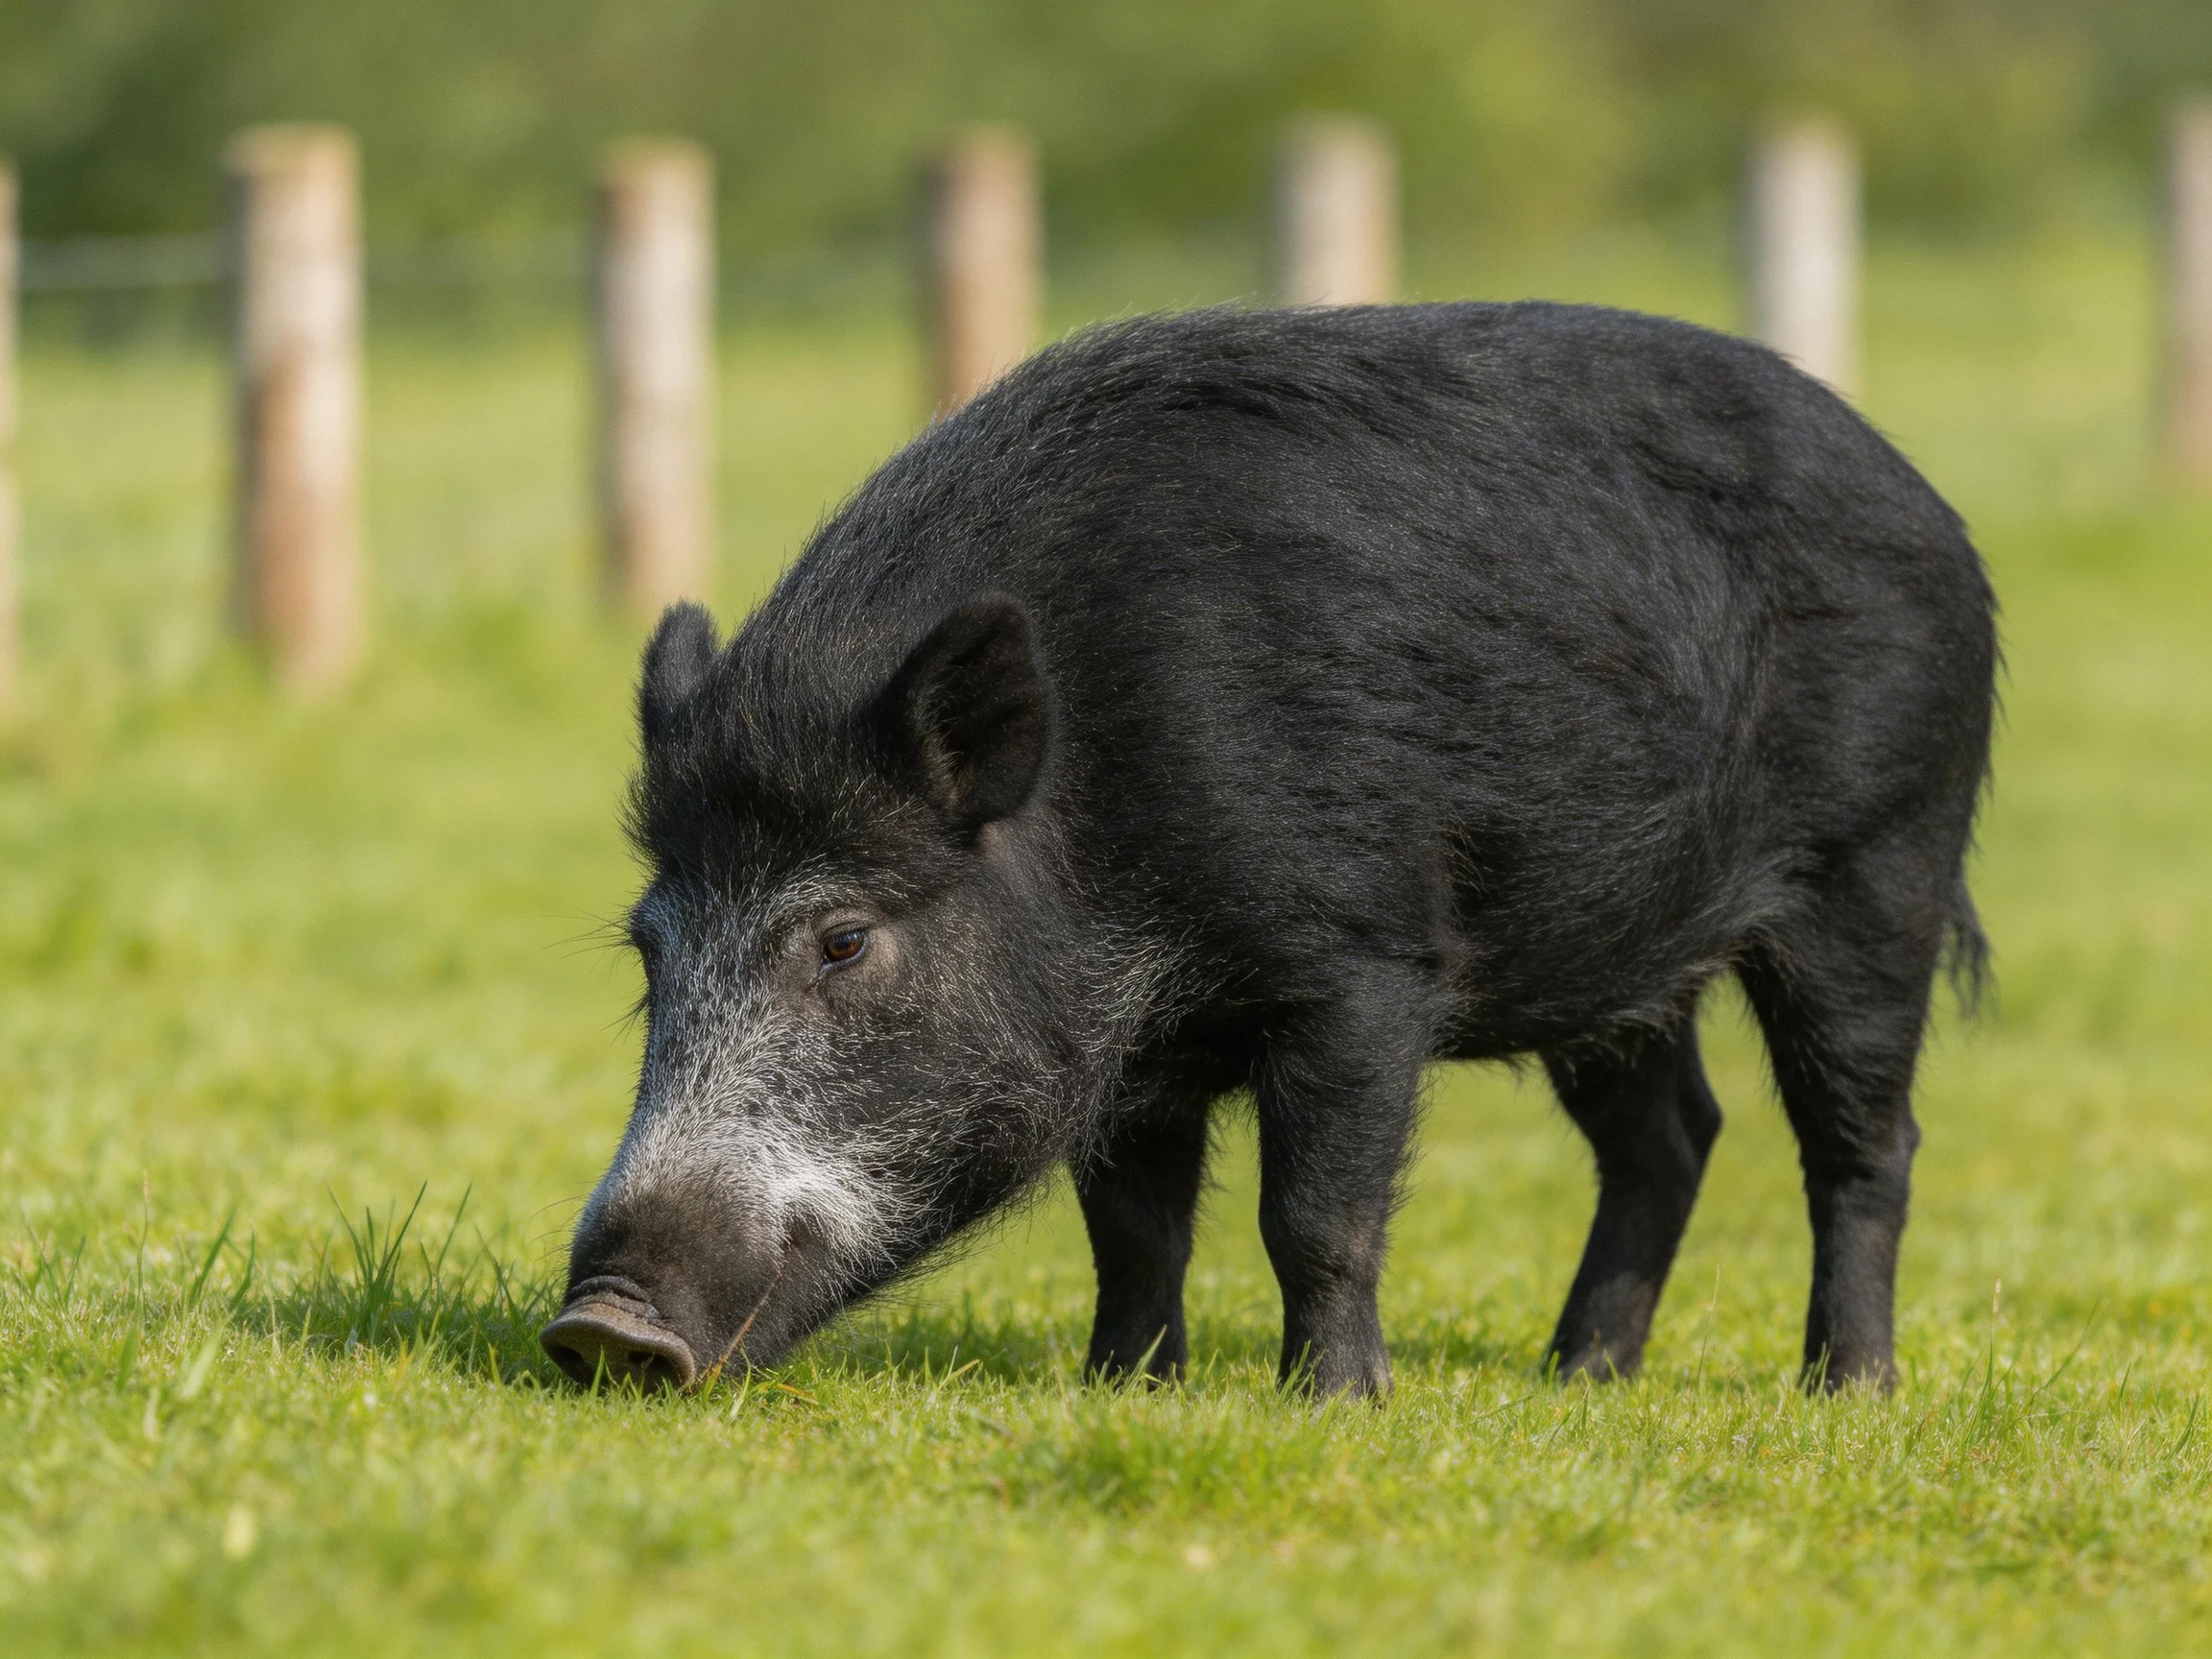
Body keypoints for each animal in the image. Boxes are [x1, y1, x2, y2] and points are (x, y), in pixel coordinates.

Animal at [540, 300, 1995, 1399]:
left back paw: (1847, 1390)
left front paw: (1336, 1405)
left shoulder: (1362, 964)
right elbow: (1134, 1229)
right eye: (651, 951)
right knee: (1673, 1134)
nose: (601, 1328)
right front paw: (1122, 1390)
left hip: (1881, 863)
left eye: (844, 940)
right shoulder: (1130, 1048)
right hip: (1615, 955)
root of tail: (1931, 504)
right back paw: (1578, 1377)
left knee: (1868, 1140)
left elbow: (1314, 1215)